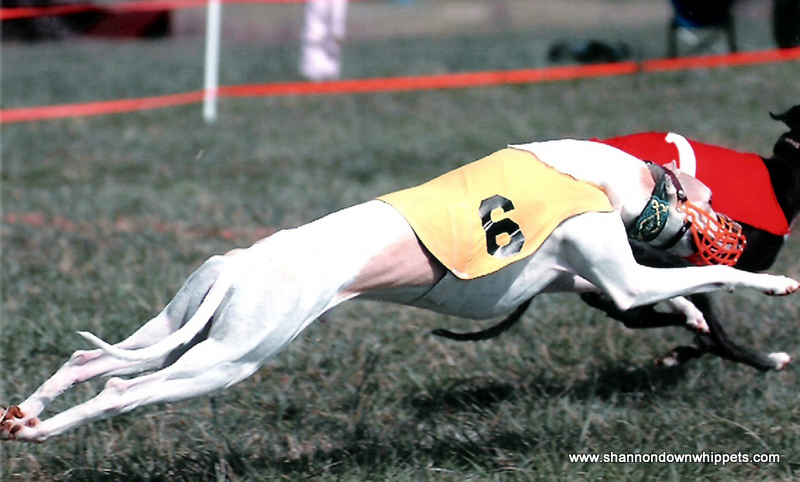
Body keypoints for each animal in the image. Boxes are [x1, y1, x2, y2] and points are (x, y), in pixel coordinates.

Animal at [3, 139, 797, 443]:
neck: (602, 172)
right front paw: (776, 281)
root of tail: (242, 263)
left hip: (177, 323)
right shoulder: (622, 277)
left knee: (89, 361)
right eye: (710, 198)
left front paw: (707, 327)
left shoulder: (572, 275)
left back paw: (24, 415)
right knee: (120, 390)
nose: (747, 231)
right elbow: (701, 278)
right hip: (229, 357)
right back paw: (43, 431)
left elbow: (678, 295)